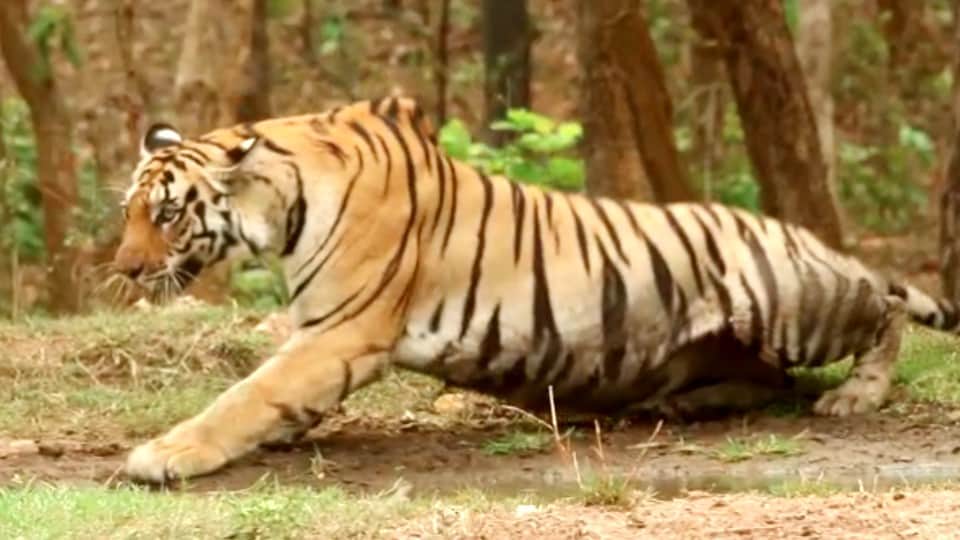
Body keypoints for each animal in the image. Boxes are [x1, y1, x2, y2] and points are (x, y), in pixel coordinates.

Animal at [114, 96, 959, 483]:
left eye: (166, 213)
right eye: (129, 210)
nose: (123, 270)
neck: (283, 205)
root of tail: (811, 241)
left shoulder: (341, 331)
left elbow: (247, 394)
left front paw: (163, 454)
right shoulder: (325, 336)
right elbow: (268, 396)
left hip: (788, 299)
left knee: (885, 307)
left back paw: (855, 395)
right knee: (772, 377)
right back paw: (686, 405)